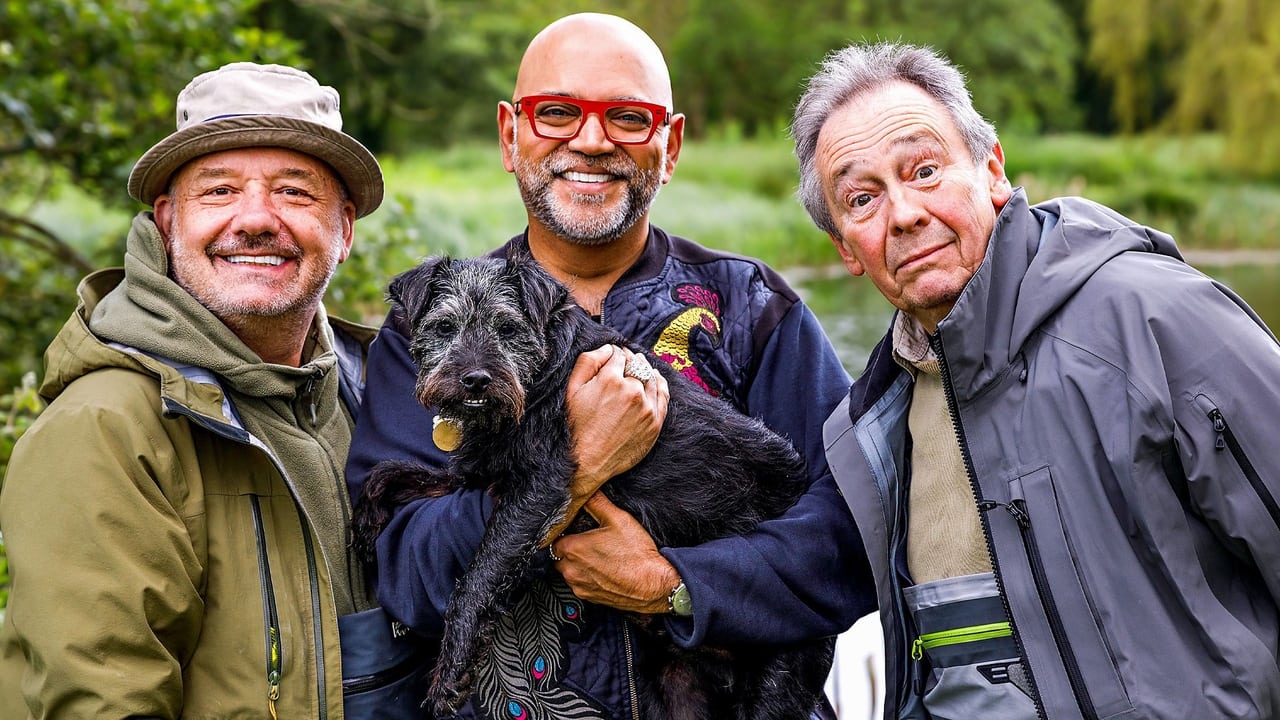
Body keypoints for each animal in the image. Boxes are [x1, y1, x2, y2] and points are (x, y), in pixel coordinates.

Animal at [350, 251, 834, 717]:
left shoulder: (537, 489)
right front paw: (365, 524)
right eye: (444, 327)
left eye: (507, 328)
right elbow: (389, 472)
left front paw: (450, 672)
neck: (540, 380)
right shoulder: (478, 475)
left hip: (776, 681)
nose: (476, 380)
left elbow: (477, 577)